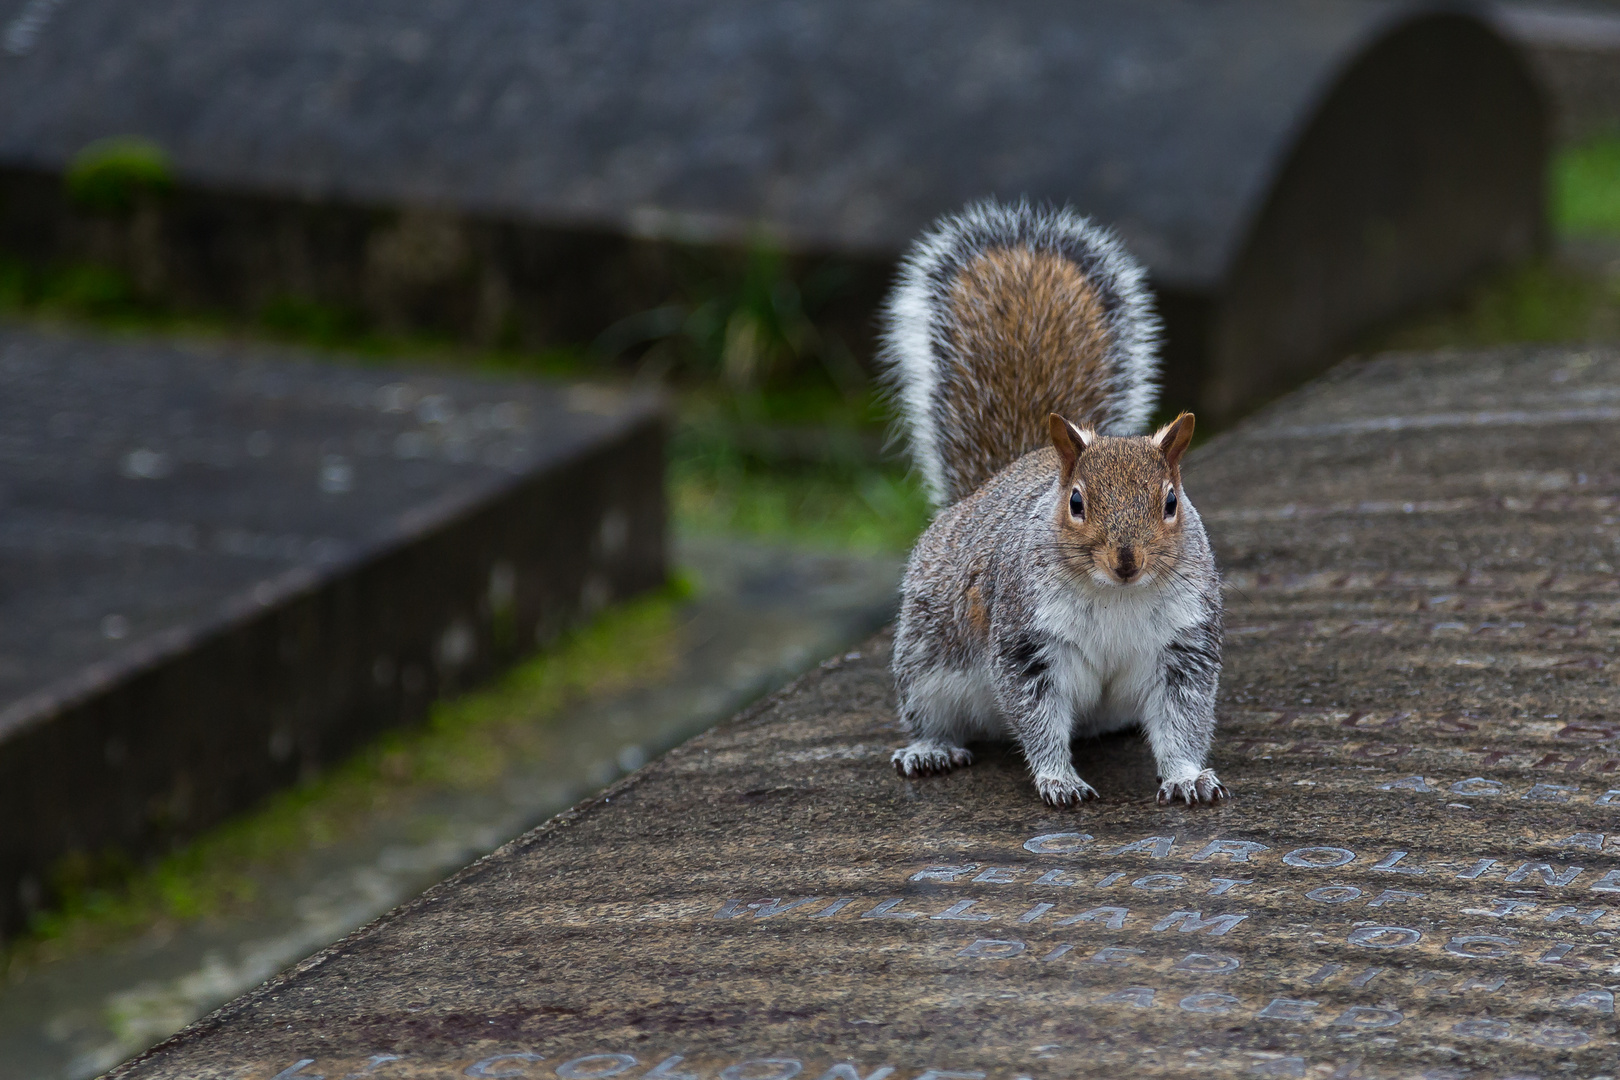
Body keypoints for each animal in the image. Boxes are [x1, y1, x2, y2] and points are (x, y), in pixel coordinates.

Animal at [881, 200, 1218, 809]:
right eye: (1077, 502)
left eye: (1171, 502)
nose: (1126, 561)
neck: (1116, 595)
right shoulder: (1028, 645)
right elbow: (1037, 717)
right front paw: (1059, 779)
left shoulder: (1184, 646)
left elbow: (1183, 720)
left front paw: (1185, 775)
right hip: (925, 654)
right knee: (930, 712)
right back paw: (930, 749)